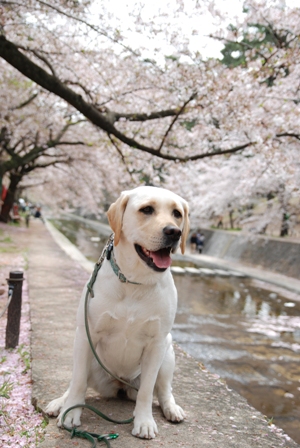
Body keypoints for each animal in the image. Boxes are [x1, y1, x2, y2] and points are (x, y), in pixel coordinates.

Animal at [45, 187, 189, 440]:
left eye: (177, 213)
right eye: (147, 209)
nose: (174, 232)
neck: (135, 282)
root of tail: (119, 384)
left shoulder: (157, 344)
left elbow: (147, 391)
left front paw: (144, 421)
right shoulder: (86, 335)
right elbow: (78, 382)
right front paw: (71, 413)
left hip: (168, 352)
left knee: (163, 389)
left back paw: (170, 408)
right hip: (91, 359)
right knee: (74, 382)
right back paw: (60, 403)